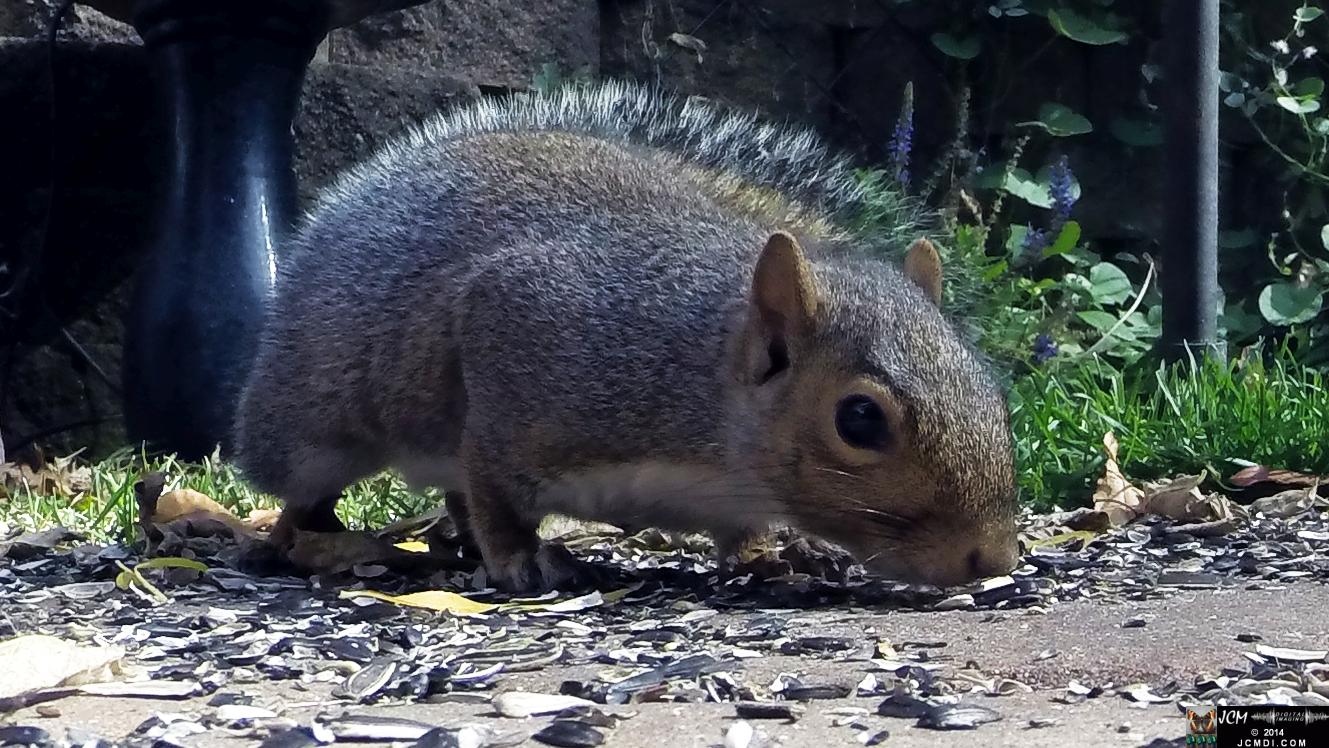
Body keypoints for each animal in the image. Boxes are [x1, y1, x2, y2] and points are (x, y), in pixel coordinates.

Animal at [232, 81, 1020, 592]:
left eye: (988, 386)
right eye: (858, 419)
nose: (991, 559)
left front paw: (772, 553)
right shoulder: (524, 335)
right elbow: (493, 483)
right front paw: (516, 558)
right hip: (310, 418)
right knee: (311, 477)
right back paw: (300, 535)